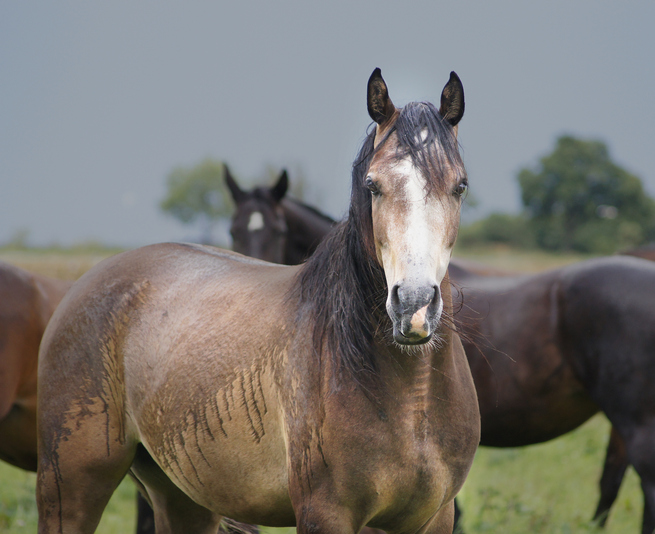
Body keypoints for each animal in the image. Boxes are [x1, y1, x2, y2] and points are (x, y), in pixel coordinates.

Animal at [36, 68, 480, 534]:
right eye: (372, 186)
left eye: (460, 185)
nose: (414, 305)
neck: (413, 400)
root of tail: (86, 284)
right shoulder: (325, 513)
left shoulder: (433, 517)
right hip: (70, 488)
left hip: (181, 496)